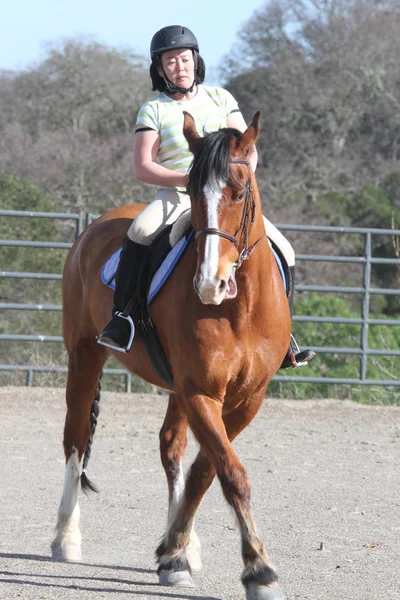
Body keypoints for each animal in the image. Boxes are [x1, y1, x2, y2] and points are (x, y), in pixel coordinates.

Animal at [51, 112, 290, 600]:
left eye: (241, 192)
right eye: (194, 194)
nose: (210, 284)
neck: (242, 306)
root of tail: (94, 228)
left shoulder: (247, 399)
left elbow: (205, 470)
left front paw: (175, 551)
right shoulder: (201, 393)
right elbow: (231, 473)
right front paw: (259, 570)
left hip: (174, 388)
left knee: (171, 447)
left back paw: (182, 543)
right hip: (85, 357)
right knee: (75, 439)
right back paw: (65, 538)